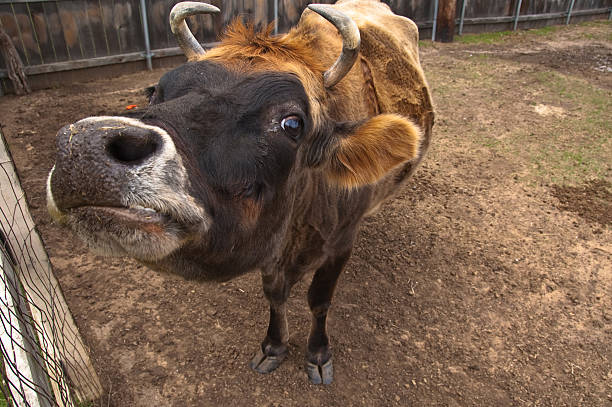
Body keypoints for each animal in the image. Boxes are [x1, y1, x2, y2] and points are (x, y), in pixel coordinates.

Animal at [45, 0, 432, 386]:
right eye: (154, 92)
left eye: (292, 123)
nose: (85, 147)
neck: (297, 229)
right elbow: (274, 295)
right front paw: (273, 346)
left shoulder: (340, 244)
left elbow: (319, 300)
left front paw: (318, 353)